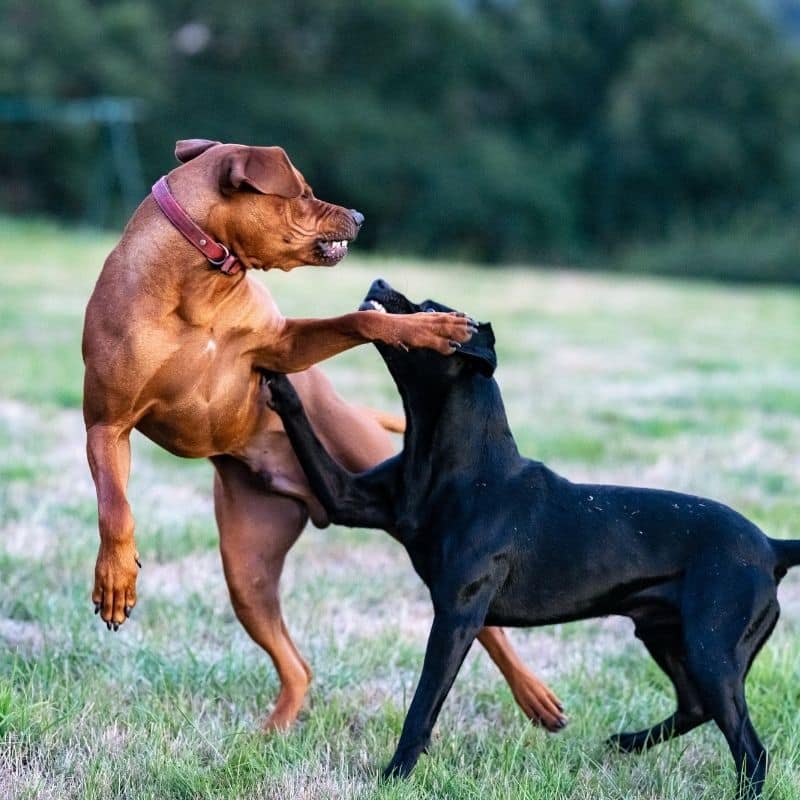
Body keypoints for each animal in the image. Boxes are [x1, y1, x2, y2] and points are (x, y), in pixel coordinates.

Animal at [83, 139, 564, 732]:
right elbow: (115, 507)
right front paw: (115, 578)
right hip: (247, 572)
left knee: (488, 627)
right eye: (304, 193)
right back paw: (274, 731)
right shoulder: (106, 427)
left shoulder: (283, 346)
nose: (358, 216)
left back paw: (534, 695)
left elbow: (360, 321)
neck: (200, 284)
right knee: (298, 665)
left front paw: (425, 327)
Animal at [266, 278, 800, 796]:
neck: (461, 465)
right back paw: (626, 743)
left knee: (750, 749)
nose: (378, 280)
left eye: (431, 308)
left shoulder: (457, 614)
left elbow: (423, 706)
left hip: (713, 651)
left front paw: (395, 775)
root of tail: (772, 548)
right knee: (696, 708)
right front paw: (276, 375)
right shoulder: (348, 501)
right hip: (665, 635)